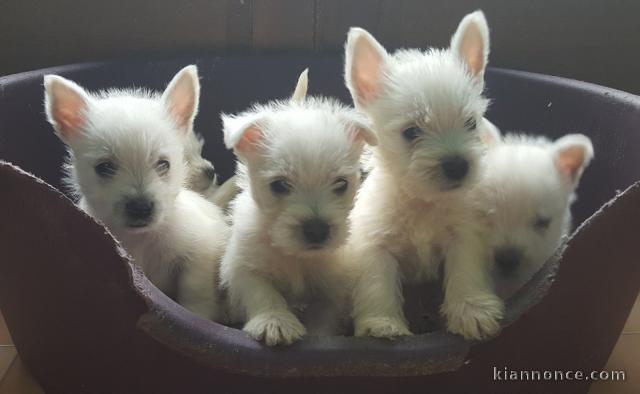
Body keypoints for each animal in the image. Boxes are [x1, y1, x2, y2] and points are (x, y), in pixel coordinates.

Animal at [44, 66, 230, 322]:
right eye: (104, 167)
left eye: (164, 164)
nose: (140, 207)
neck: (141, 239)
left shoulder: (200, 252)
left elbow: (194, 292)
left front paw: (196, 315)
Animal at [221, 69, 378, 346]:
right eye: (279, 185)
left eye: (341, 184)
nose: (317, 230)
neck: (296, 256)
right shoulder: (243, 265)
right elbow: (262, 292)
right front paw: (275, 322)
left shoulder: (332, 289)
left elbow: (323, 317)